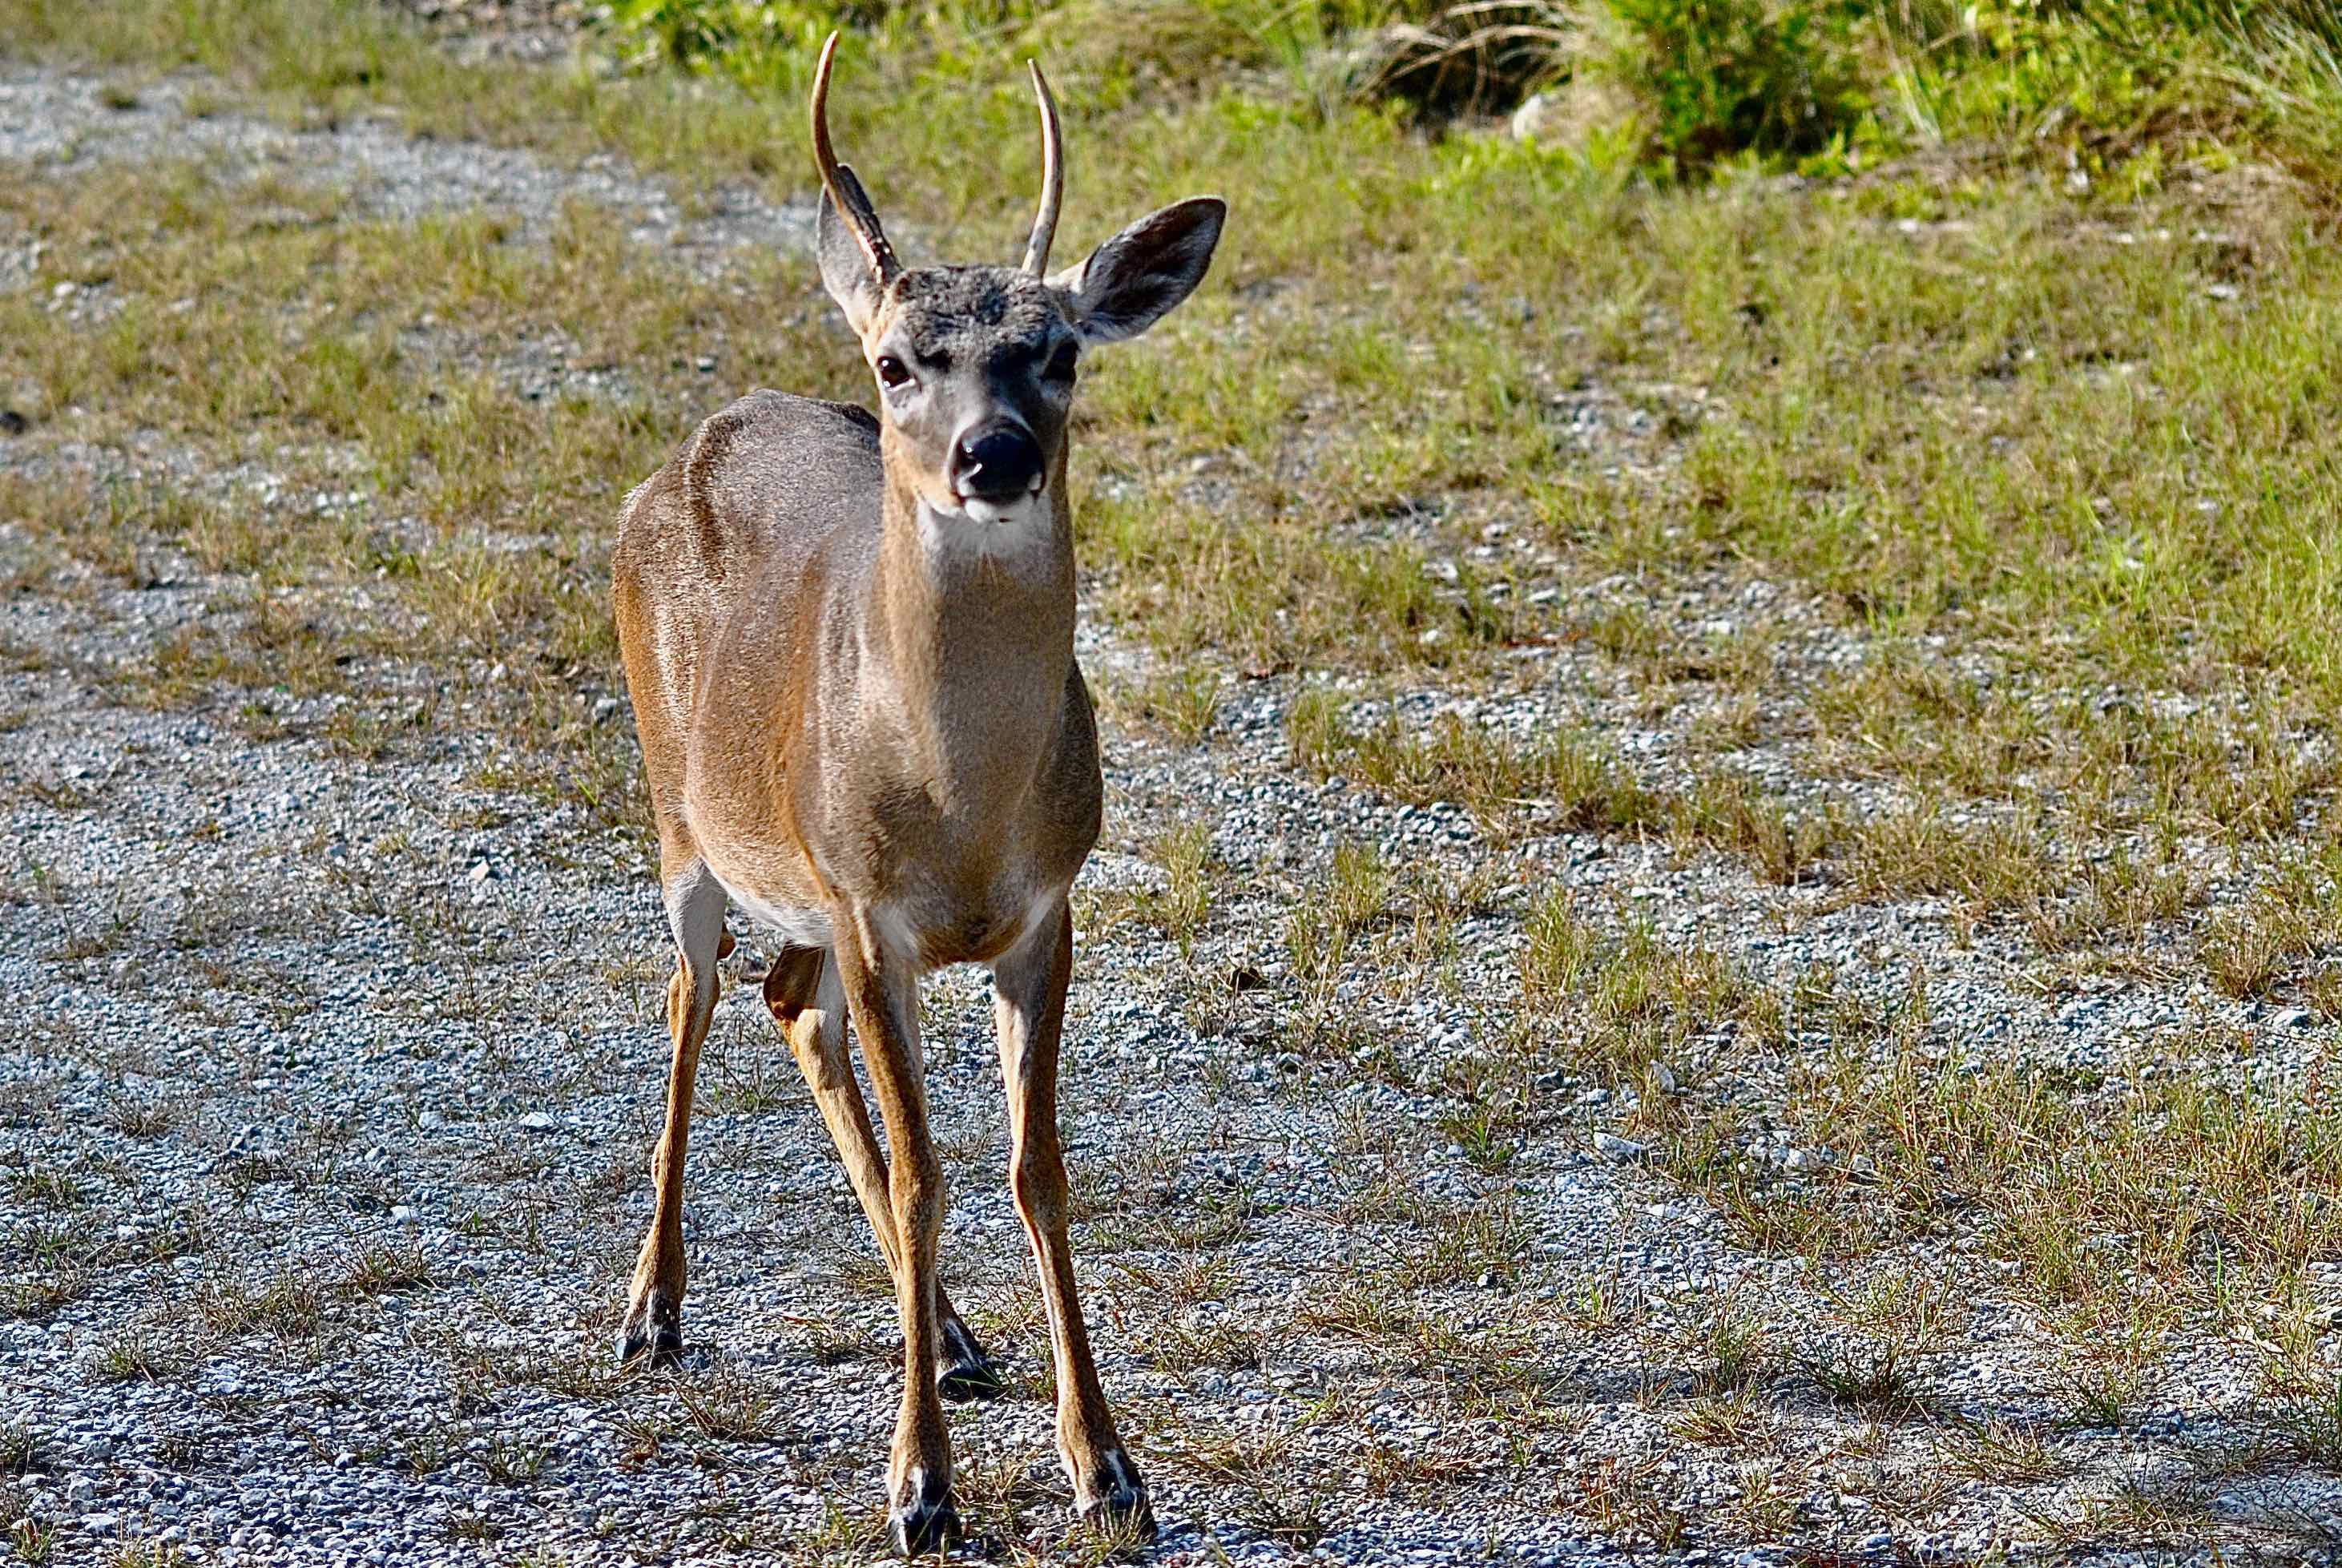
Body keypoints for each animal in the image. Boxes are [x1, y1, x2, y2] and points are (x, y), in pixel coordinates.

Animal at [607, 32, 1225, 1554]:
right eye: (895, 362)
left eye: (1057, 354)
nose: (991, 455)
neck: (960, 813)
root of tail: (697, 436)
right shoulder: (871, 909)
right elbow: (930, 1169)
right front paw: (919, 1487)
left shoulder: (1044, 911)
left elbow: (1028, 1171)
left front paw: (1106, 1465)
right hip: (681, 815)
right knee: (692, 997)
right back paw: (653, 1306)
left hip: (801, 892)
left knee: (787, 1002)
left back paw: (946, 1329)